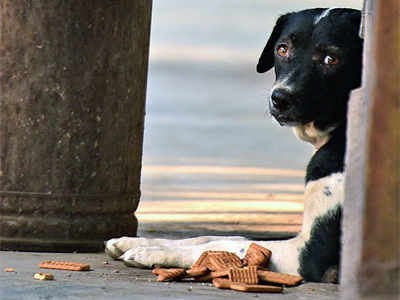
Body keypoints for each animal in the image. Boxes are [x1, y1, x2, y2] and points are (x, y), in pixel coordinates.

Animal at [104, 7, 364, 284]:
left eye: (330, 59)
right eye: (282, 49)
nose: (280, 98)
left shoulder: (310, 255)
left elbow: (223, 245)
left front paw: (152, 251)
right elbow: (221, 237)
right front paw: (137, 241)